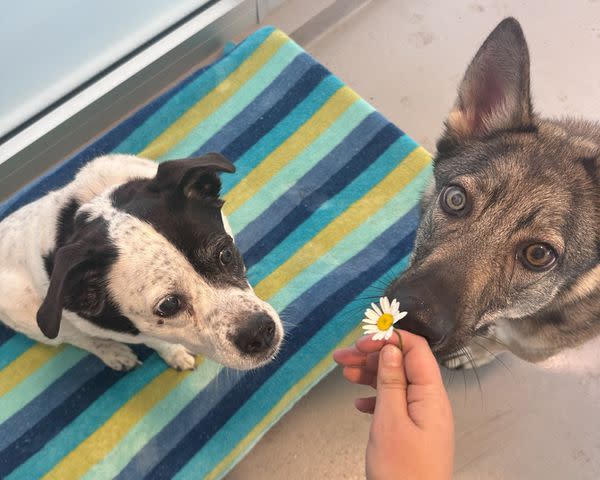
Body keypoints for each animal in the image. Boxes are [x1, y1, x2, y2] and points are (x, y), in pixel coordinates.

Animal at [0, 154, 284, 372]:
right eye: (168, 305)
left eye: (225, 254)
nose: (259, 332)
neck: (95, 201)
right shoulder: (137, 330)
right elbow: (154, 340)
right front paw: (175, 353)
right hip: (33, 315)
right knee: (77, 338)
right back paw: (113, 353)